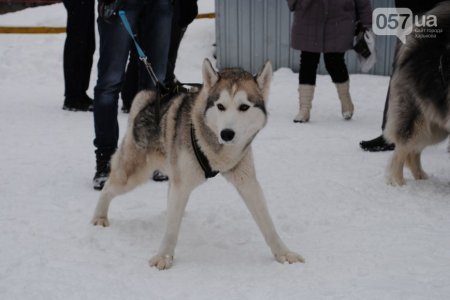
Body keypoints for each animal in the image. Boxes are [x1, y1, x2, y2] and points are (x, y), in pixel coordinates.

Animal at [91, 58, 304, 270]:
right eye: (220, 106)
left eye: (244, 107)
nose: (227, 134)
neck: (216, 151)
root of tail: (146, 101)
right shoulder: (182, 183)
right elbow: (171, 230)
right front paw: (164, 256)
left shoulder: (247, 181)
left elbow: (267, 223)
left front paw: (284, 253)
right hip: (132, 175)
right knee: (109, 187)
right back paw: (99, 216)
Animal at [384, 1, 450, 185]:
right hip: (418, 120)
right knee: (402, 150)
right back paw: (397, 182)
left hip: (436, 125)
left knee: (413, 151)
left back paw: (420, 177)